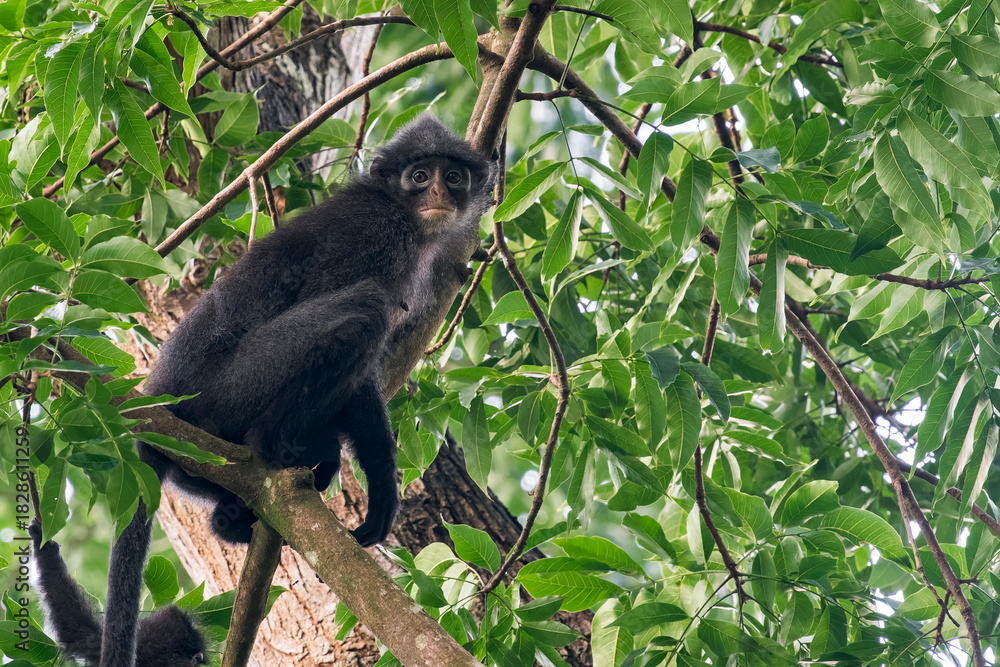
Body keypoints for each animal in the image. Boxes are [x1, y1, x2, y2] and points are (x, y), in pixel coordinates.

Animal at [39, 115, 497, 667]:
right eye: (419, 175)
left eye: (453, 176)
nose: (438, 193)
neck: (400, 213)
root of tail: (160, 409)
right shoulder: (374, 235)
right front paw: (375, 484)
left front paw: (381, 490)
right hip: (230, 391)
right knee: (363, 309)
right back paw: (275, 445)